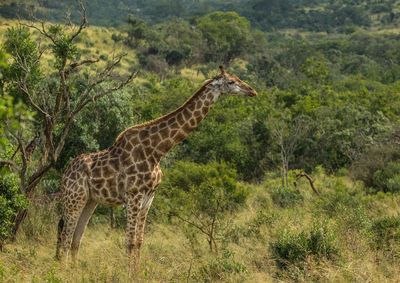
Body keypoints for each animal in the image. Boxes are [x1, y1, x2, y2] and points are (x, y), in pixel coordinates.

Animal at [55, 66, 256, 272]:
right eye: (231, 82)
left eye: (237, 78)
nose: (252, 91)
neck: (157, 150)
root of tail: (65, 174)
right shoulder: (134, 195)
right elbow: (129, 241)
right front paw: (128, 274)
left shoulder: (149, 197)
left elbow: (139, 241)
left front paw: (136, 273)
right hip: (74, 198)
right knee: (66, 236)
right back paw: (64, 272)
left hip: (90, 200)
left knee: (76, 238)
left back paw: (75, 270)